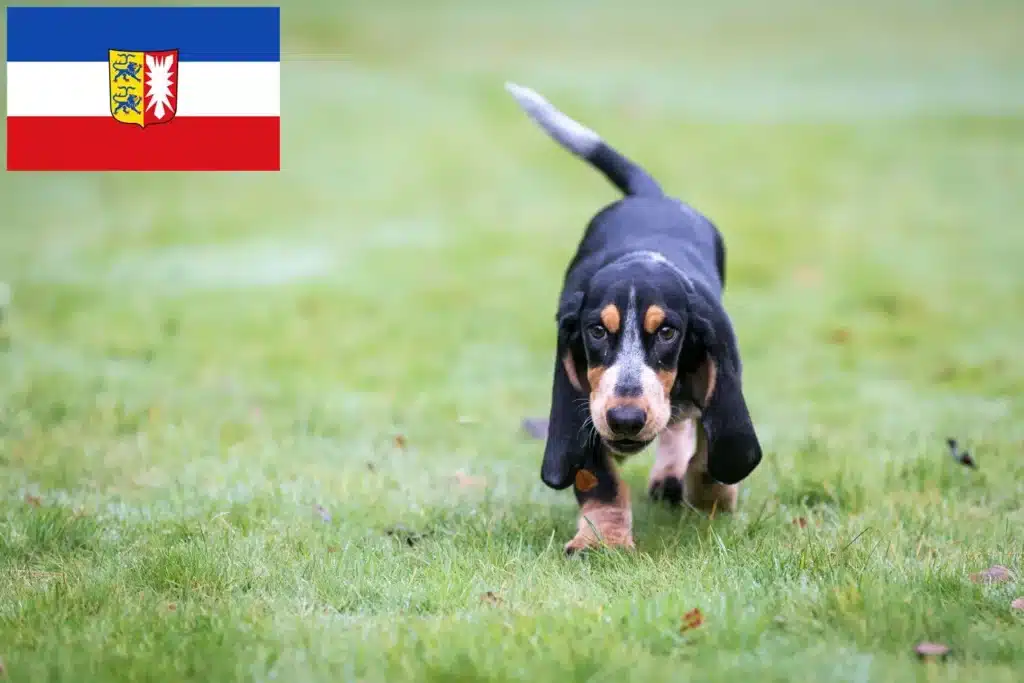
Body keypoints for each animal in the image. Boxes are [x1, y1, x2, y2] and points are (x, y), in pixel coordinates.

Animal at [503, 83, 761, 557]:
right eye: (596, 331)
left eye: (668, 332)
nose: (625, 419)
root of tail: (650, 197)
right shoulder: (581, 393)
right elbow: (598, 478)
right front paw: (602, 540)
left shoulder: (719, 365)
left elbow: (712, 445)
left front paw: (711, 495)